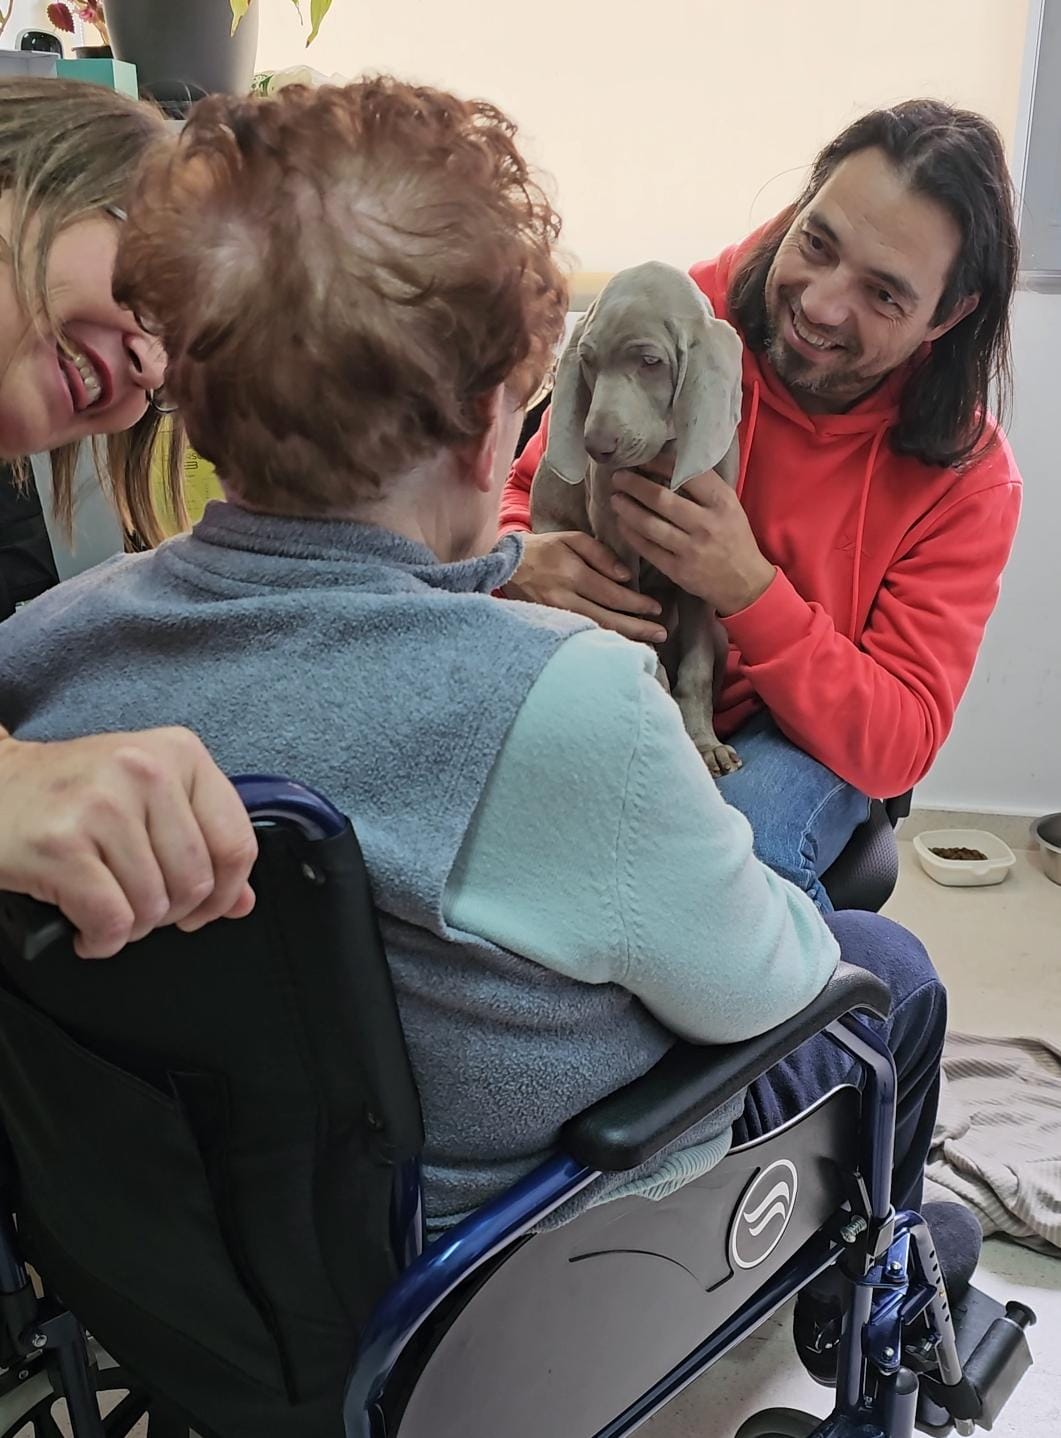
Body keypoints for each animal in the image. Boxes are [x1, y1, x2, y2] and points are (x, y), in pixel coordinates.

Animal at [529, 258, 741, 776]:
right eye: (587, 360)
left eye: (649, 362)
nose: (596, 447)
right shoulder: (616, 546)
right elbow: (638, 635)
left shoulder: (700, 564)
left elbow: (696, 667)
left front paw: (704, 742)